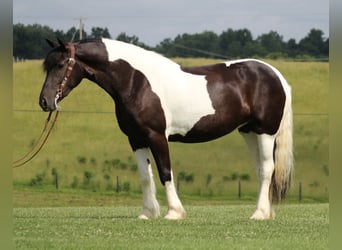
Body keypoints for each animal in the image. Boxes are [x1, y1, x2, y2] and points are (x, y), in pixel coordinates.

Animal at [38, 38, 292, 220]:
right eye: (47, 66)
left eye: (60, 65)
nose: (45, 102)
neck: (136, 81)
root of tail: (276, 75)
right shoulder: (136, 139)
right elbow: (145, 176)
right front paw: (147, 213)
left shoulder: (157, 136)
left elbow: (165, 172)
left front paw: (174, 213)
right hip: (249, 132)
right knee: (261, 170)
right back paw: (266, 212)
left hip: (265, 132)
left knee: (267, 169)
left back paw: (258, 214)